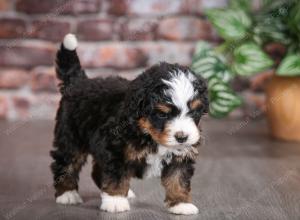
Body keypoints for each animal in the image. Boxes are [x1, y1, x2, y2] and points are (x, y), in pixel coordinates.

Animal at [49, 34, 209, 215]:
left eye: (194, 112)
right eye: (162, 114)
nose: (182, 137)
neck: (148, 133)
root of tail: (78, 82)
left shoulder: (181, 154)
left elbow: (178, 178)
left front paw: (181, 203)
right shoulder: (115, 147)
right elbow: (116, 175)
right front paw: (116, 201)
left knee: (96, 170)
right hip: (70, 137)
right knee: (66, 163)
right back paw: (67, 194)